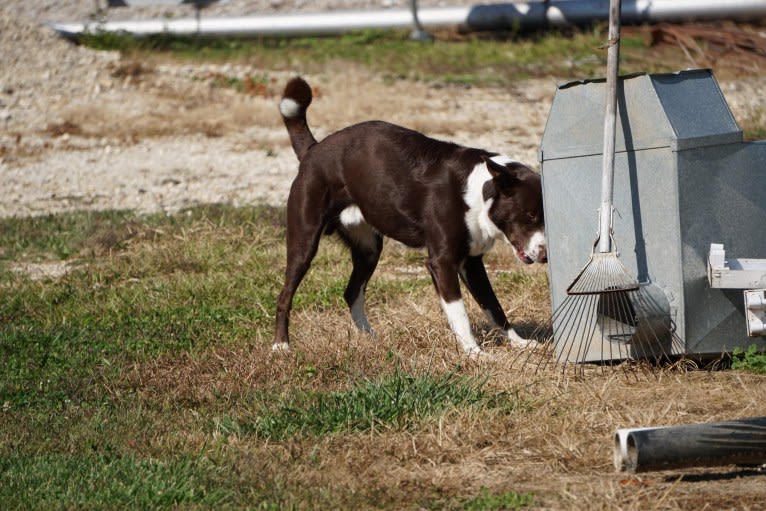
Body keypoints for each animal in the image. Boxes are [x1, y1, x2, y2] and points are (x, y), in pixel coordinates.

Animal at [272, 78, 544, 358]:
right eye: (530, 214)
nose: (545, 256)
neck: (478, 189)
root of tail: (313, 149)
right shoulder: (442, 262)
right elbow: (460, 314)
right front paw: (474, 353)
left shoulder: (472, 263)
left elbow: (494, 306)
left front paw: (519, 342)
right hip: (304, 241)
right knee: (284, 296)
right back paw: (281, 345)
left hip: (368, 249)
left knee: (351, 292)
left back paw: (370, 337)